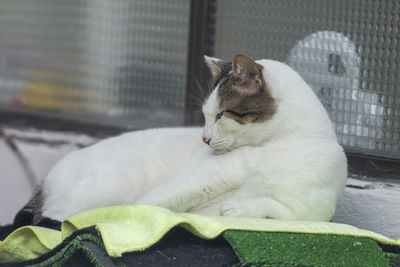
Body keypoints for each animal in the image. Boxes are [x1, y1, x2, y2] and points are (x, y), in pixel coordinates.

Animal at [14, 55, 346, 228]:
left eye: (221, 115)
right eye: (205, 115)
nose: (205, 138)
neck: (277, 148)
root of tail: (49, 176)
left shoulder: (311, 215)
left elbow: (273, 209)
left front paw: (236, 209)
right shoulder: (199, 178)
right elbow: (148, 205)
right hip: (102, 190)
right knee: (58, 219)